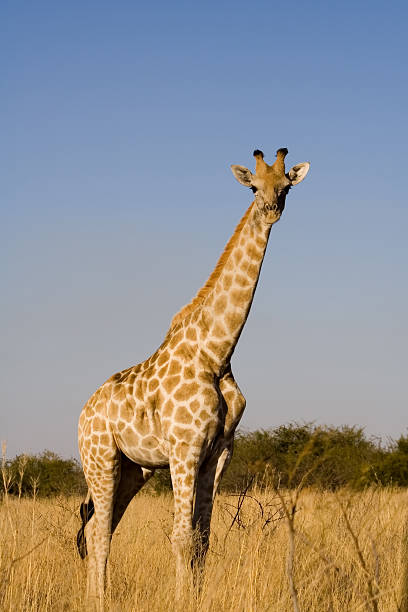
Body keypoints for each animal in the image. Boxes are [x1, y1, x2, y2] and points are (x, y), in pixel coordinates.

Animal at [78, 147, 310, 604]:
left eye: (286, 185)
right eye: (254, 187)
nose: (271, 209)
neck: (216, 354)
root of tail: (81, 414)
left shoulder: (217, 453)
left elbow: (203, 539)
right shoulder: (184, 449)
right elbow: (182, 538)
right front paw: (183, 599)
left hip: (134, 469)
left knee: (99, 527)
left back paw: (98, 598)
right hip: (99, 460)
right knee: (98, 531)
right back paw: (99, 600)